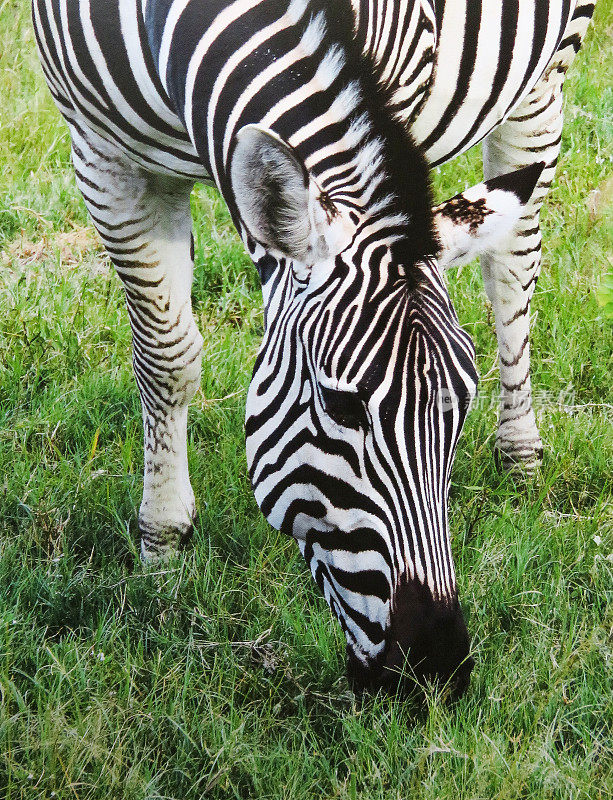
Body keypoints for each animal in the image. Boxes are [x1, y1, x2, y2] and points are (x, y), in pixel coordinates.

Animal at [32, 0, 592, 696]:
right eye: (342, 405)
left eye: (463, 405)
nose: (436, 668)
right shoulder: (103, 155)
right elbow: (166, 354)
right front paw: (161, 550)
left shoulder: (392, 85)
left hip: (548, 72)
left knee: (512, 265)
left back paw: (520, 454)